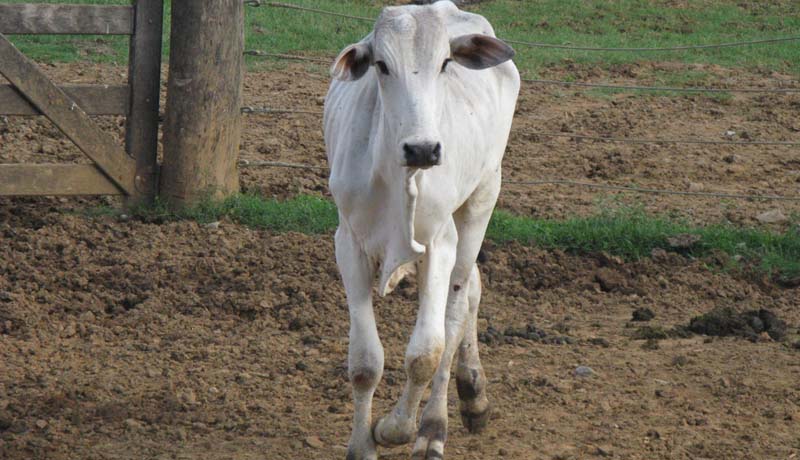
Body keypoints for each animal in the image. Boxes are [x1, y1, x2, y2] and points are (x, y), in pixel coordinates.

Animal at [324, 1, 520, 458]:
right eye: (381, 65)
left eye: (445, 62)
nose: (423, 149)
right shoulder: (349, 243)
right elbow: (364, 363)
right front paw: (362, 445)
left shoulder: (439, 243)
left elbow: (426, 353)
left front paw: (395, 429)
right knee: (473, 288)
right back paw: (472, 393)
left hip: (482, 198)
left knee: (457, 307)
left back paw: (435, 426)